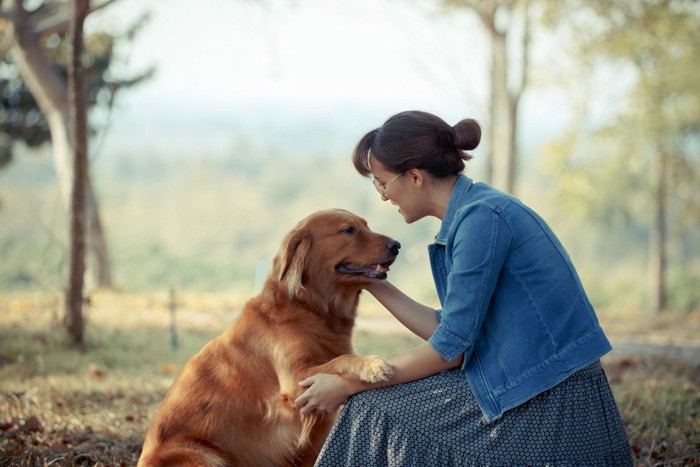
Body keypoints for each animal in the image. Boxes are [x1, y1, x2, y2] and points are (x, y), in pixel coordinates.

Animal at [138, 209, 400, 467]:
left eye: (367, 225)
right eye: (348, 230)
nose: (396, 245)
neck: (309, 307)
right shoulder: (296, 381)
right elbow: (341, 360)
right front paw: (372, 364)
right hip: (203, 454)